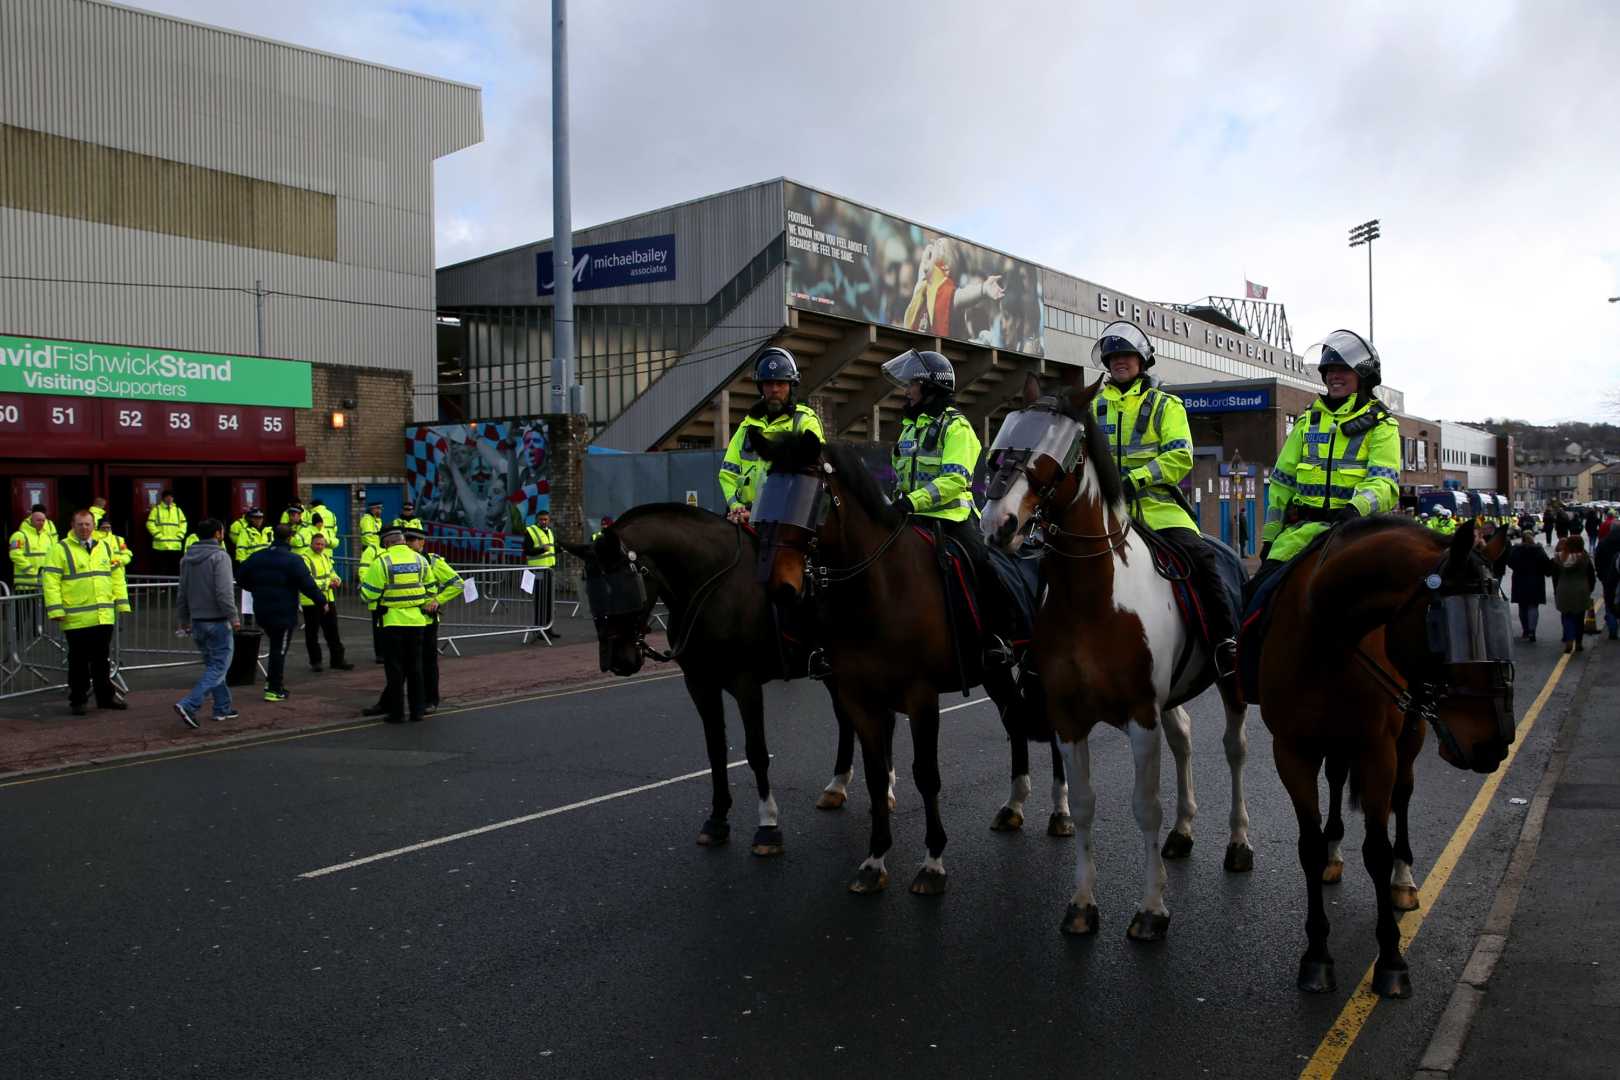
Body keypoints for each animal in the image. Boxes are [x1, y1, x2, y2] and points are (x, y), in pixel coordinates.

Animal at [972, 375, 1250, 939]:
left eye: (1053, 455)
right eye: (999, 444)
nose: (999, 524)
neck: (1095, 597)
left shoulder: (1141, 715)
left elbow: (1145, 808)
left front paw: (1151, 909)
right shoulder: (1068, 717)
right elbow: (1082, 807)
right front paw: (1082, 903)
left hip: (1229, 682)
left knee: (1234, 750)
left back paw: (1237, 842)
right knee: (1184, 738)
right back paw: (1184, 832)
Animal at [1257, 514, 1509, 997]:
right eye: (1446, 628)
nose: (1496, 743)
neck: (1326, 637)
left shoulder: (1377, 752)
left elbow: (1377, 848)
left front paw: (1391, 959)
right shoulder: (1292, 751)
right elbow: (1308, 846)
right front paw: (1316, 955)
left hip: (1408, 737)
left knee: (1402, 797)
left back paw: (1403, 880)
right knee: (1337, 781)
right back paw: (1335, 852)